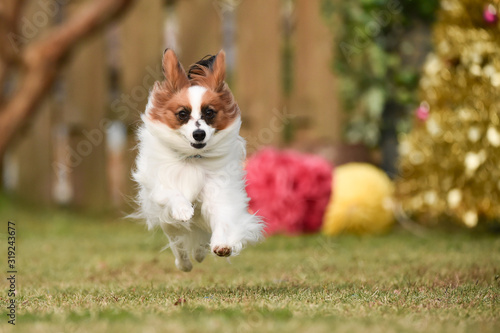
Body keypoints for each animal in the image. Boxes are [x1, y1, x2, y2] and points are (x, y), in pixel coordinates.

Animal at [133, 50, 266, 272]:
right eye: (182, 114)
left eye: (209, 112)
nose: (199, 134)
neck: (192, 158)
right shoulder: (160, 185)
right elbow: (173, 194)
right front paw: (183, 208)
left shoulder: (217, 193)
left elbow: (221, 219)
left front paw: (222, 244)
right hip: (169, 225)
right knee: (178, 244)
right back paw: (184, 263)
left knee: (197, 245)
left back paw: (200, 252)